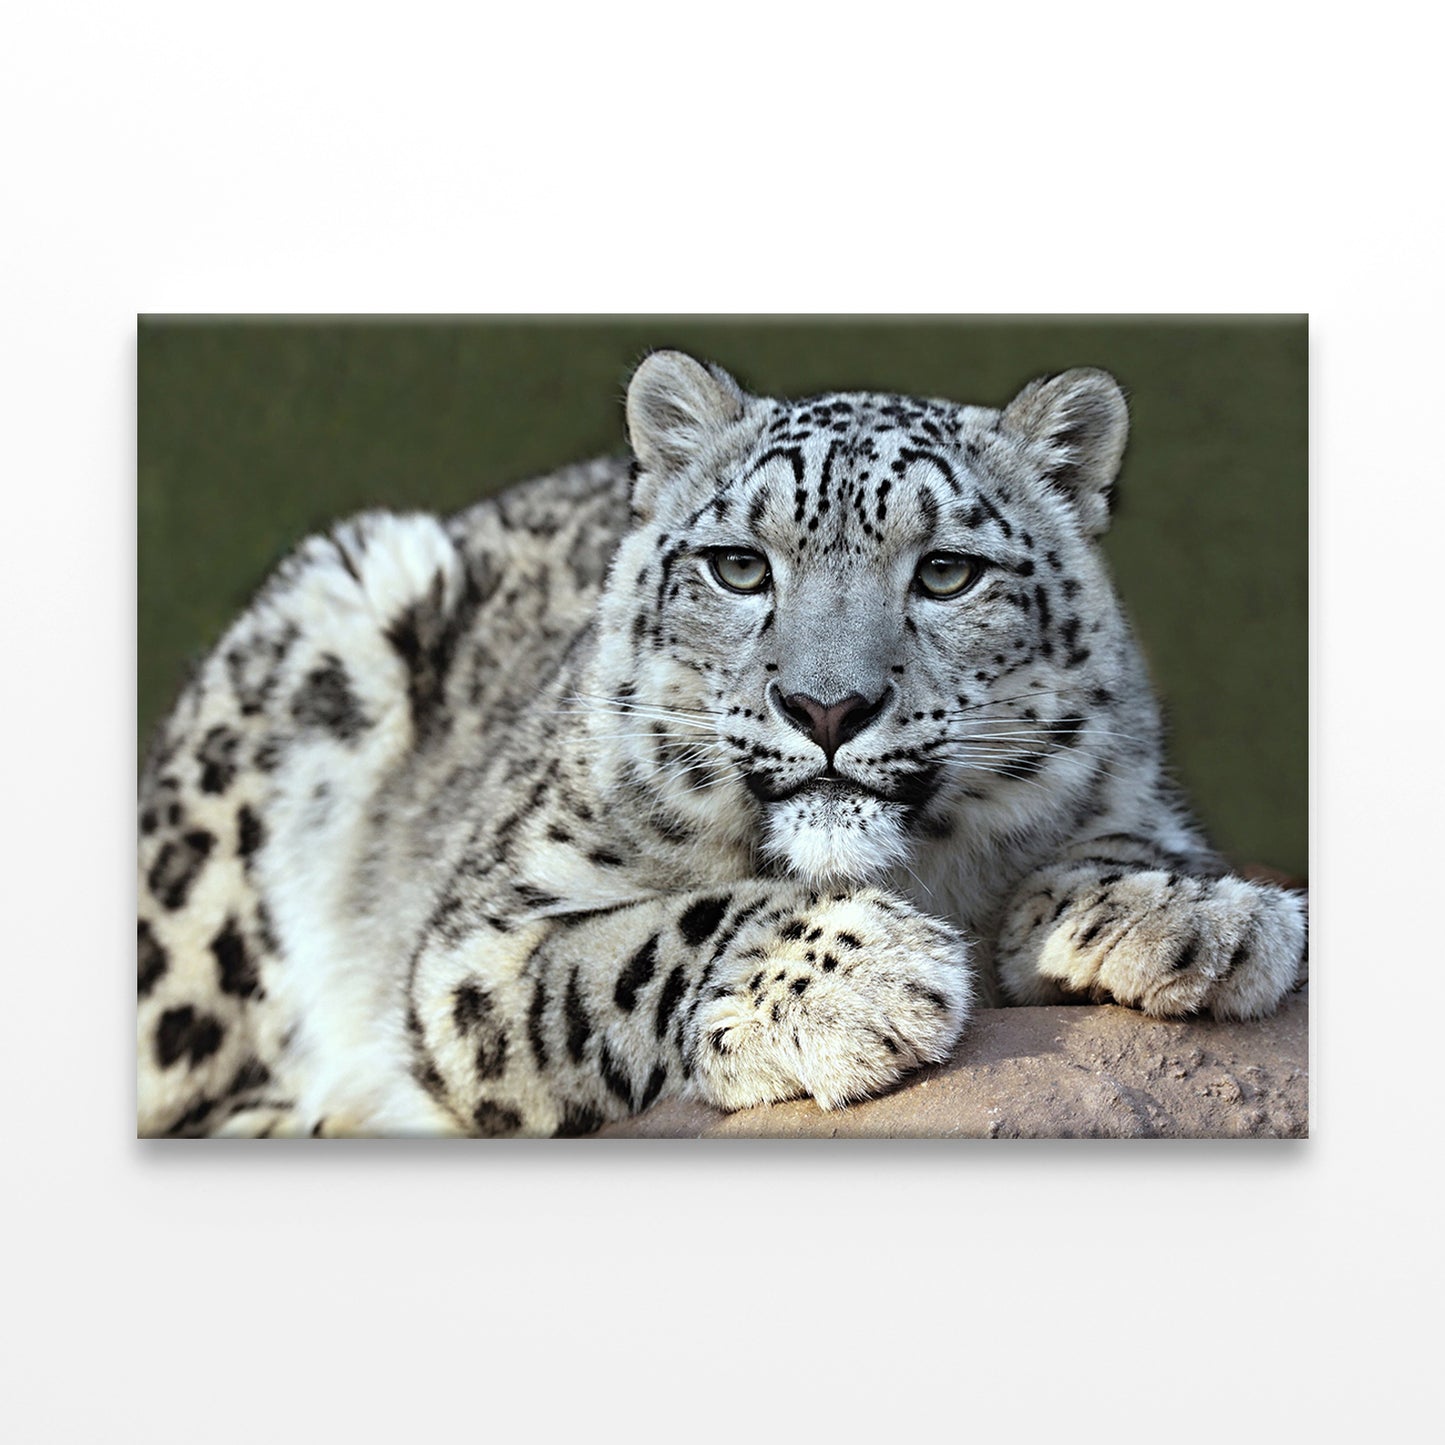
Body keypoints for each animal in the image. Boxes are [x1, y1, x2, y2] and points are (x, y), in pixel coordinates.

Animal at [136, 350, 1308, 1137]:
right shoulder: (477, 946)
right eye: (740, 566)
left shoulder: (1121, 792)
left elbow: (1120, 843)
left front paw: (1191, 914)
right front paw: (857, 980)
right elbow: (648, 936)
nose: (826, 706)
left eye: (945, 571)